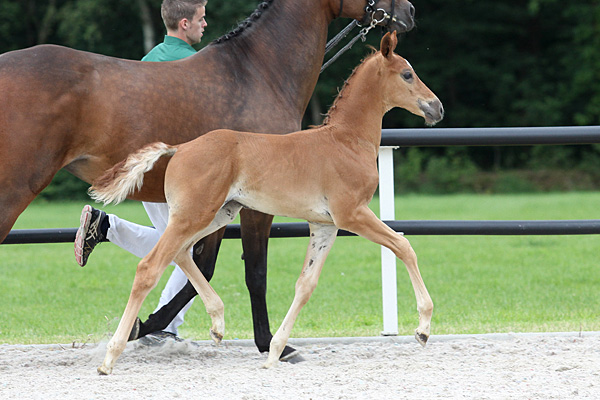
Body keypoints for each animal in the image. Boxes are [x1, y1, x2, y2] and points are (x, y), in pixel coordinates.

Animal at [0, 0, 416, 359]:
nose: (409, 11)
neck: (259, 72)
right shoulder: (256, 205)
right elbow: (254, 271)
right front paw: (269, 343)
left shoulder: (225, 202)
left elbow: (203, 264)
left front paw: (145, 326)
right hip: (17, 188)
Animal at [90, 31, 443, 374]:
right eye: (408, 74)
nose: (437, 107)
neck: (346, 140)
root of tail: (179, 148)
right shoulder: (352, 214)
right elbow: (403, 246)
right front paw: (423, 328)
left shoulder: (325, 225)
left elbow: (305, 285)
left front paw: (275, 352)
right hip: (194, 215)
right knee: (150, 267)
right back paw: (110, 358)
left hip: (215, 215)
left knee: (180, 254)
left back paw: (217, 322)